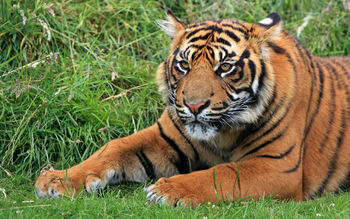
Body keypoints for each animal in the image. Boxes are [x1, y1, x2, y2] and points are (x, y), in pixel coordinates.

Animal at [34, 11, 350, 206]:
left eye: (225, 67)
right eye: (184, 65)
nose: (194, 105)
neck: (222, 134)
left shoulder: (278, 165)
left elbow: (223, 173)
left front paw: (167, 189)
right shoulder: (163, 136)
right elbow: (112, 147)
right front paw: (56, 179)